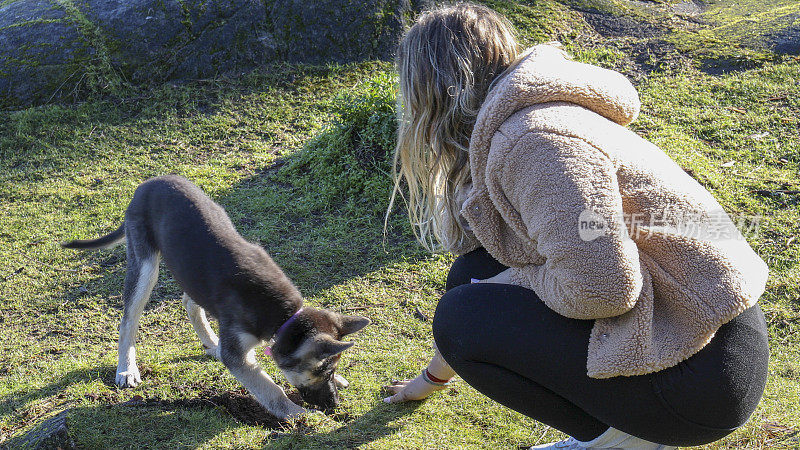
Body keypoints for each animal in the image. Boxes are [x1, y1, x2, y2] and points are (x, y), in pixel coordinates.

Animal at [63, 175, 372, 418]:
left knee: (189, 301)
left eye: (331, 371)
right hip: (145, 265)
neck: (283, 316)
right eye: (321, 373)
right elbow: (268, 387)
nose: (334, 406)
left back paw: (211, 343)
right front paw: (296, 414)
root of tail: (148, 184)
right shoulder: (237, 355)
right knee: (129, 319)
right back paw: (127, 369)